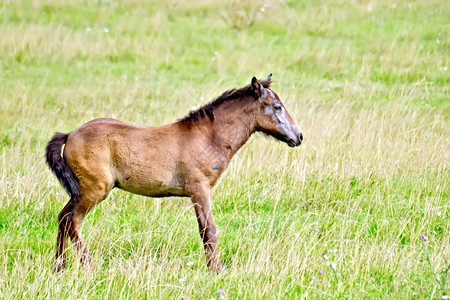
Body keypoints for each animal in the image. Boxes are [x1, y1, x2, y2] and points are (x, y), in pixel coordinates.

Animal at [45, 74, 302, 272]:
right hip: (94, 190)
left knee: (63, 218)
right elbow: (209, 231)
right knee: (73, 222)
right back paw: (88, 265)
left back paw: (59, 267)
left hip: (80, 191)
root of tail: (70, 135)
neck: (208, 137)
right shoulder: (199, 189)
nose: (299, 136)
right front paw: (217, 270)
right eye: (277, 107)